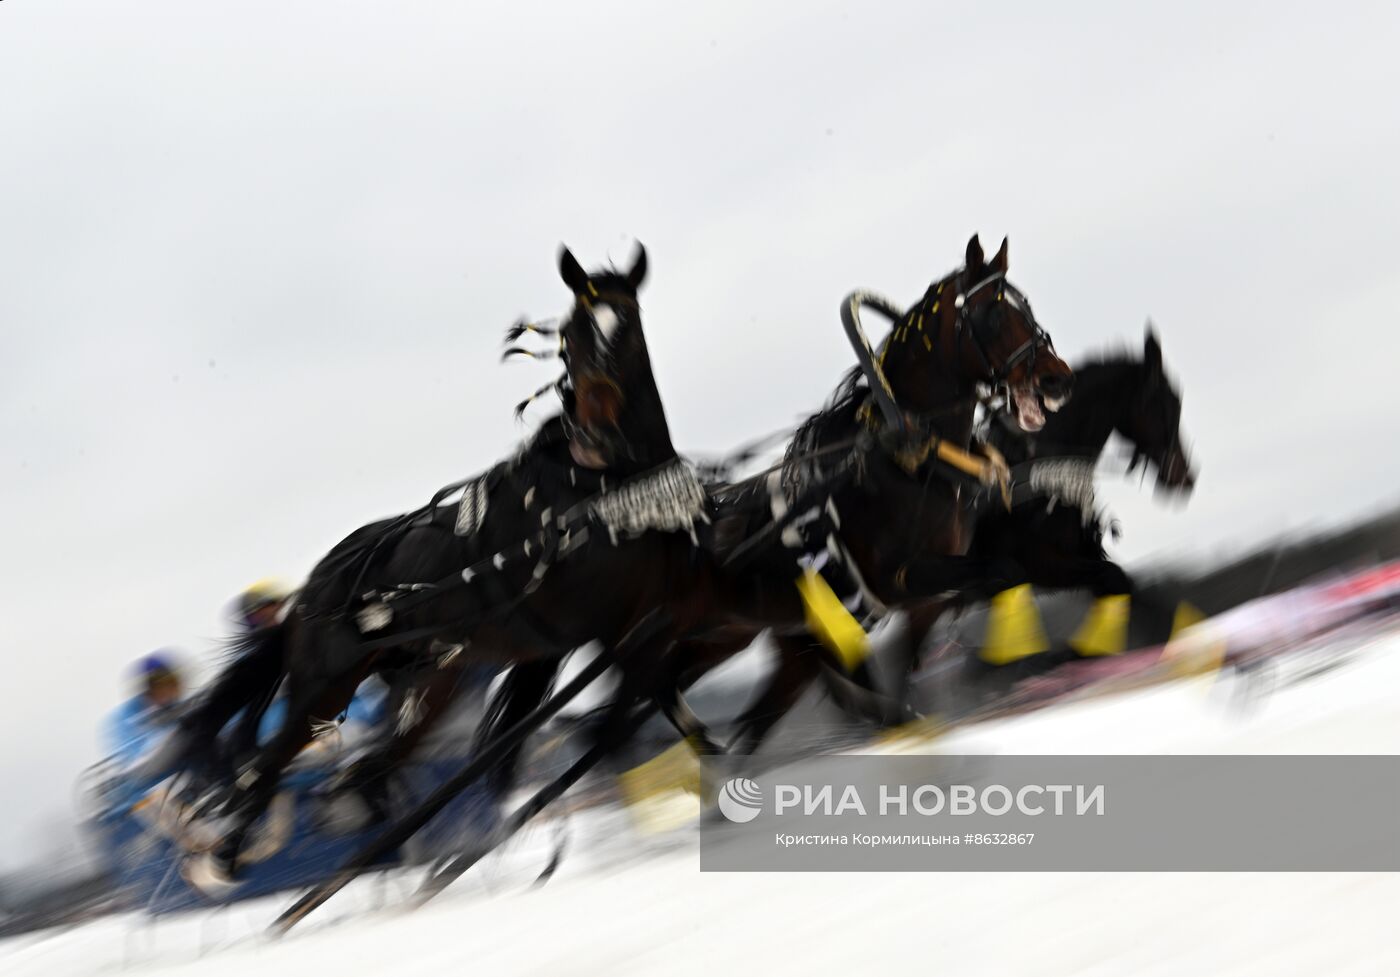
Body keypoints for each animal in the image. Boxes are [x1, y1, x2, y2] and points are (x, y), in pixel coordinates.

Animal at [176, 243, 722, 890]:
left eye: (626, 323)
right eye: (570, 332)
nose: (597, 420)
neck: (604, 487)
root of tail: (305, 598)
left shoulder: (646, 618)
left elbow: (660, 704)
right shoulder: (607, 630)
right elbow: (614, 723)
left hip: (431, 682)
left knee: (375, 768)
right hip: (322, 687)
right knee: (267, 768)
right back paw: (229, 858)